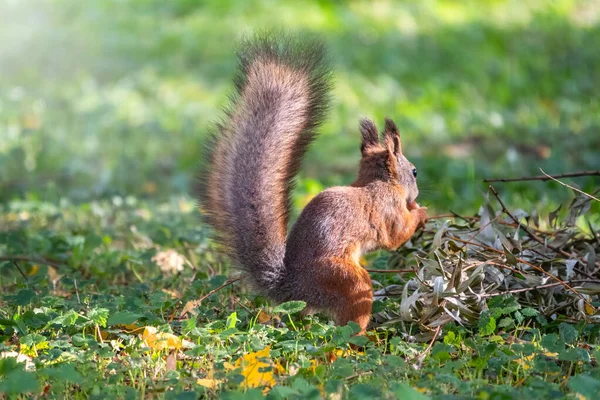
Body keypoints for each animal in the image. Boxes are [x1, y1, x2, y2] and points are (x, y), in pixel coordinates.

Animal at [197, 33, 426, 334]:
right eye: (414, 172)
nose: (417, 192)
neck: (377, 182)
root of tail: (293, 288)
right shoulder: (388, 210)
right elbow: (396, 236)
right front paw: (422, 212)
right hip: (345, 279)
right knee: (350, 321)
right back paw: (365, 336)